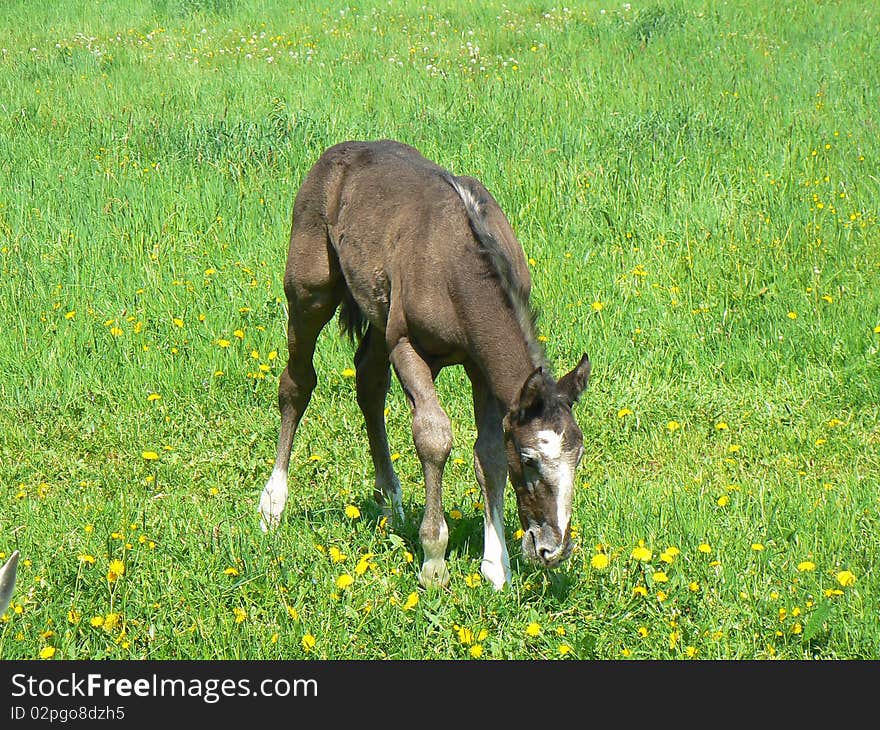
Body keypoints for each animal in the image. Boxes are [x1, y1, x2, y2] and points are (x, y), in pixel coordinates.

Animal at [262, 139, 592, 588]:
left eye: (577, 459)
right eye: (528, 460)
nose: (553, 549)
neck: (456, 265)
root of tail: (335, 154)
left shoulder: (479, 366)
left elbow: (488, 453)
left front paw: (496, 566)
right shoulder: (407, 345)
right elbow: (434, 437)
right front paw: (434, 561)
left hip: (378, 314)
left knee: (368, 381)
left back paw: (389, 499)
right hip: (309, 292)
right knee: (297, 382)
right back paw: (273, 504)